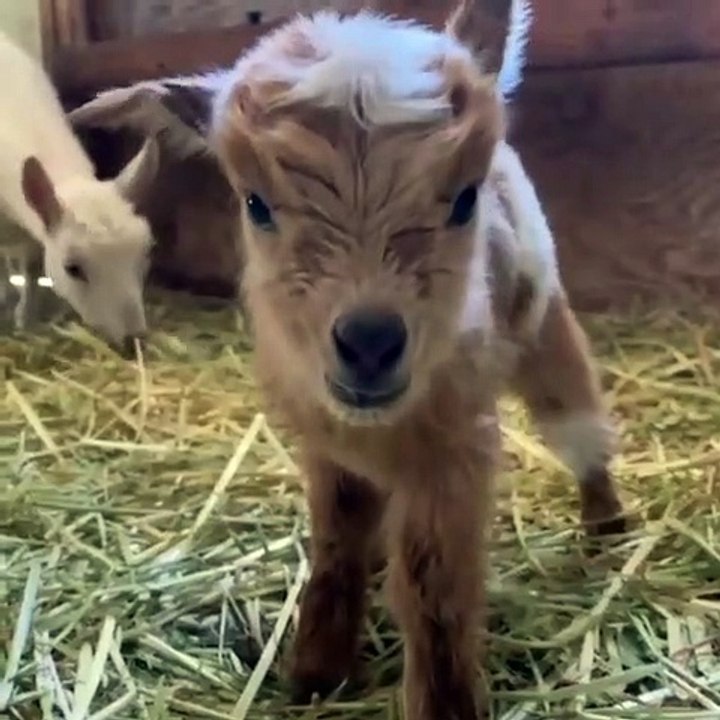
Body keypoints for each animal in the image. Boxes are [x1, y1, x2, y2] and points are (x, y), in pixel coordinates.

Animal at [0, 31, 159, 349]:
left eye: (147, 253)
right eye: (72, 269)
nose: (134, 340)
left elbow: (31, 267)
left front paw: (26, 317)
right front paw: (19, 314)